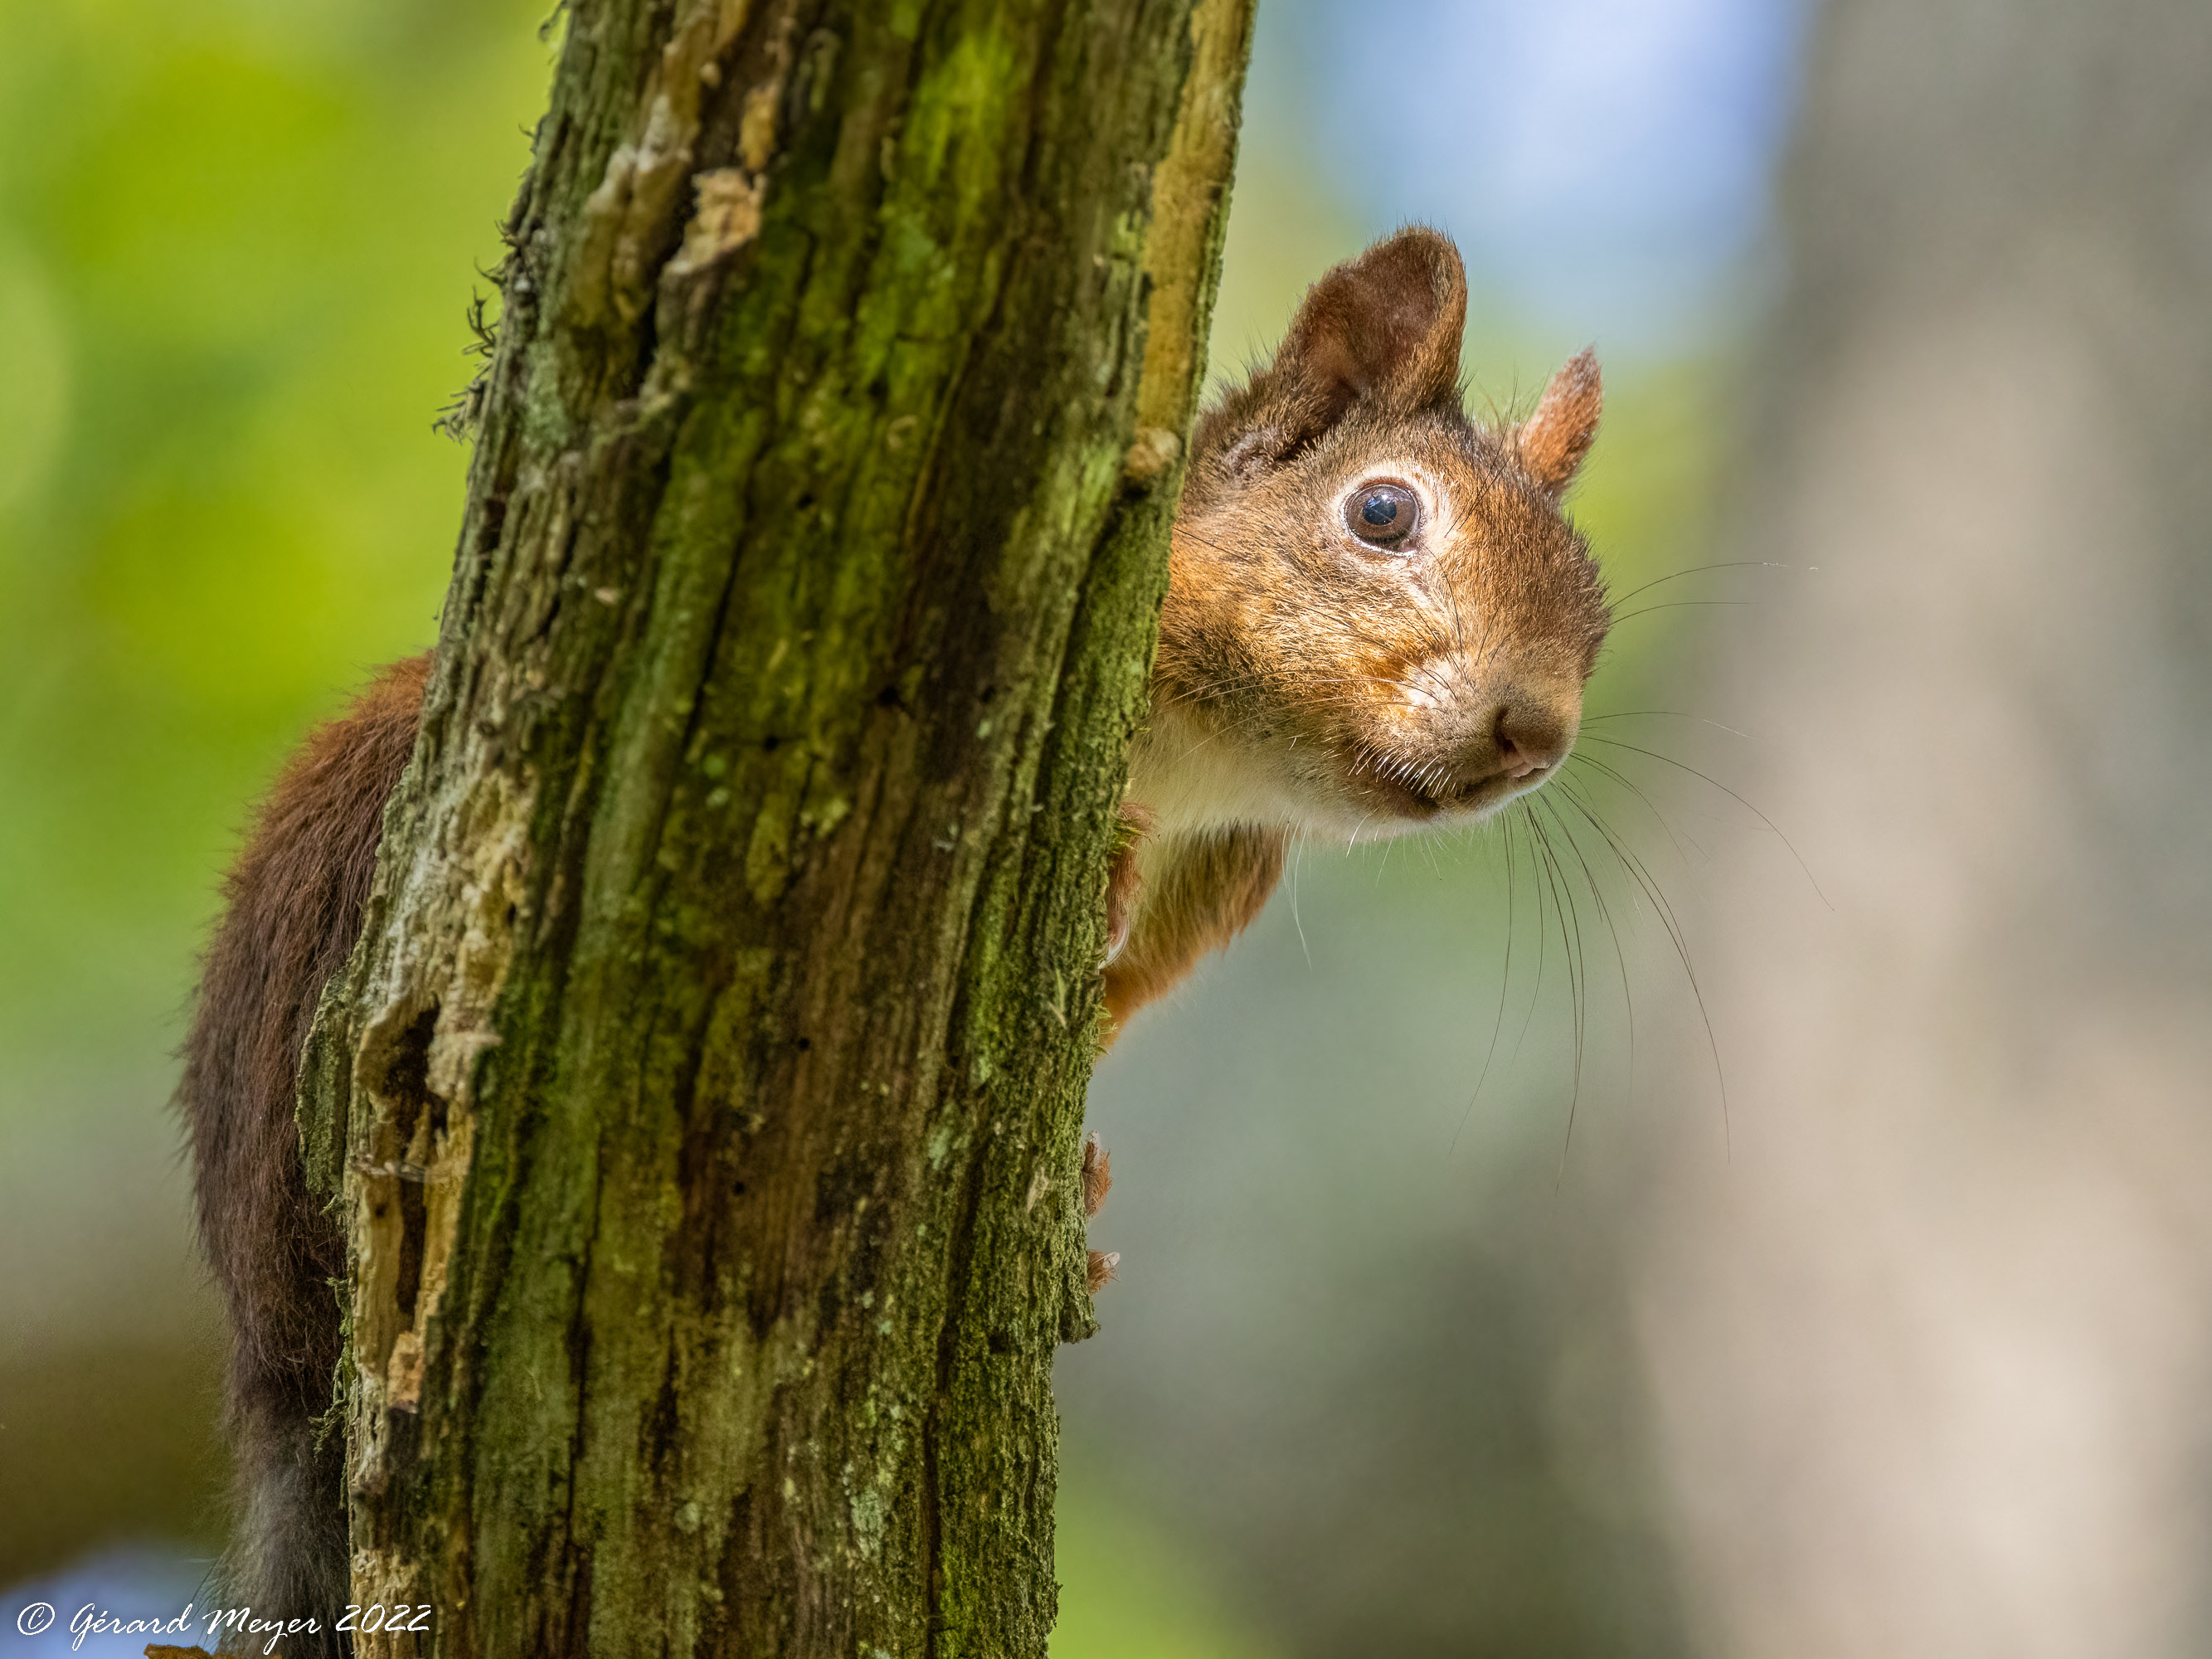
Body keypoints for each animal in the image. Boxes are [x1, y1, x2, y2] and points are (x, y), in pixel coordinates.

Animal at [181, 227, 1610, 1646]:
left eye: (1593, 618)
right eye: (1380, 513)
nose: (1532, 735)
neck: (1214, 758)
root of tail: (262, 1336)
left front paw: (1083, 1176)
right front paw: (1106, 853)